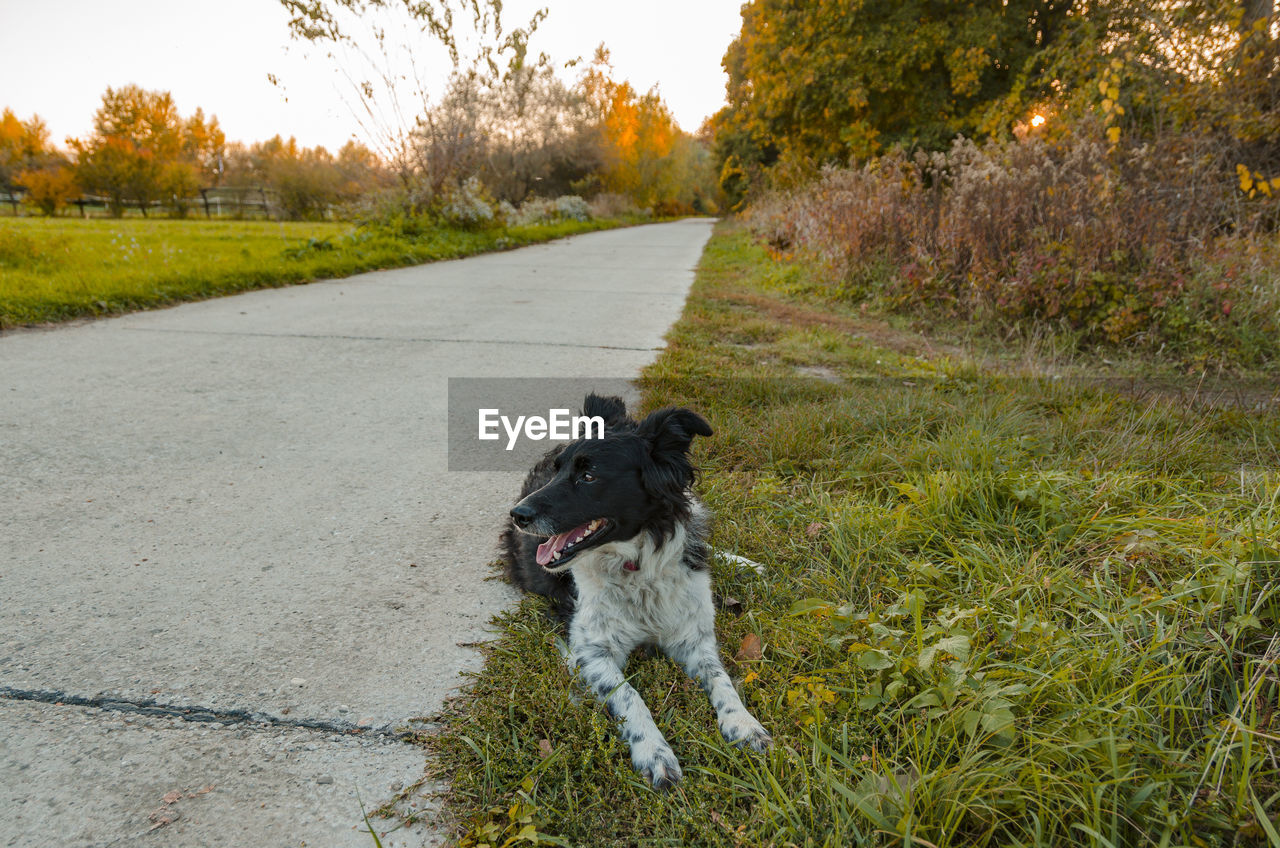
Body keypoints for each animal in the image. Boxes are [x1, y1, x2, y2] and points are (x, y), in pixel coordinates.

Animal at [504, 397, 768, 789]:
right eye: (557, 472)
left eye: (588, 476)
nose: (518, 514)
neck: (636, 566)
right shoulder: (591, 651)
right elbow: (630, 695)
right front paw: (655, 753)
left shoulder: (693, 636)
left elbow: (722, 680)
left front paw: (744, 724)